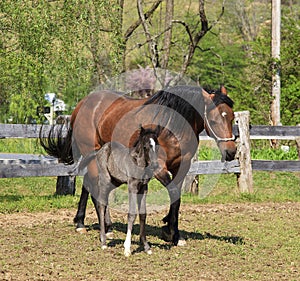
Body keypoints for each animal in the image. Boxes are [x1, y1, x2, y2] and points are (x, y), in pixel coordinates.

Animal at [79, 127, 159, 256]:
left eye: (157, 145)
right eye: (146, 146)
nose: (155, 165)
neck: (138, 163)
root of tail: (99, 150)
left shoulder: (143, 188)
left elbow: (143, 214)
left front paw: (146, 247)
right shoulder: (132, 186)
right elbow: (132, 214)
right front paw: (127, 248)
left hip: (114, 182)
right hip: (105, 180)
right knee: (101, 204)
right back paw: (103, 242)